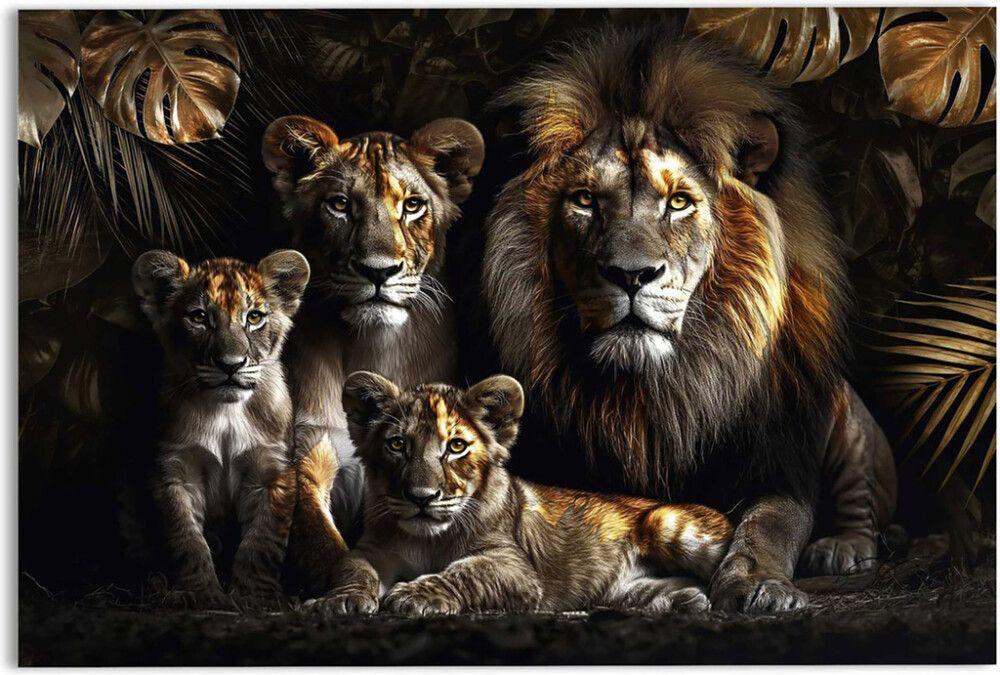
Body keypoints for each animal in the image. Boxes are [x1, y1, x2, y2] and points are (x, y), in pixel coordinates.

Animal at [262, 115, 485, 594]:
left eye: (413, 206)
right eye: (340, 205)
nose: (378, 271)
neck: (372, 346)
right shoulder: (311, 447)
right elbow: (317, 538)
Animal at [481, 26, 897, 613]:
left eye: (678, 202)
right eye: (584, 200)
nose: (631, 275)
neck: (654, 394)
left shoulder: (776, 463)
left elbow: (771, 526)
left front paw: (758, 581)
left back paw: (840, 549)